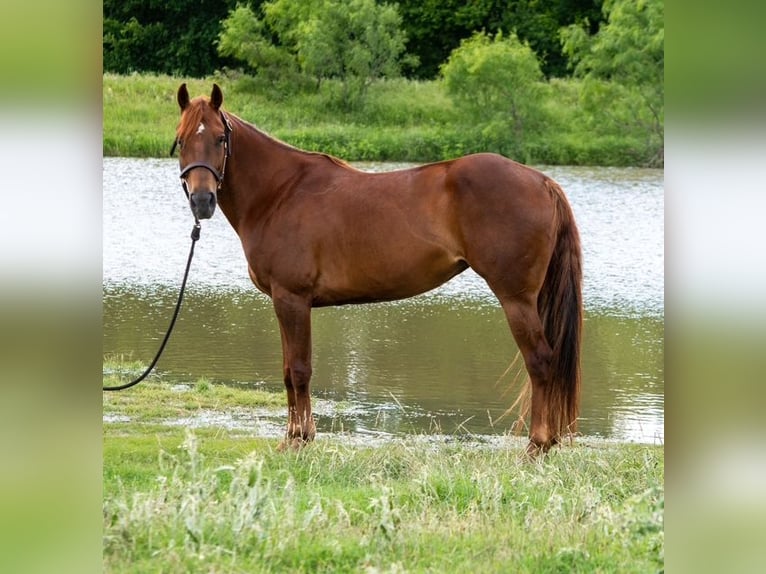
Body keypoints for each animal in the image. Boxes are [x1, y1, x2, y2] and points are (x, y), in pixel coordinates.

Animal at [172, 83, 582, 455]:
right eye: (181, 140)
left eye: (221, 138)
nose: (202, 200)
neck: (280, 193)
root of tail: (543, 181)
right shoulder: (285, 301)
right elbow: (289, 371)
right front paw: (294, 436)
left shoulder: (292, 299)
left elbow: (300, 370)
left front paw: (300, 439)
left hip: (516, 298)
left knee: (540, 361)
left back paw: (537, 446)